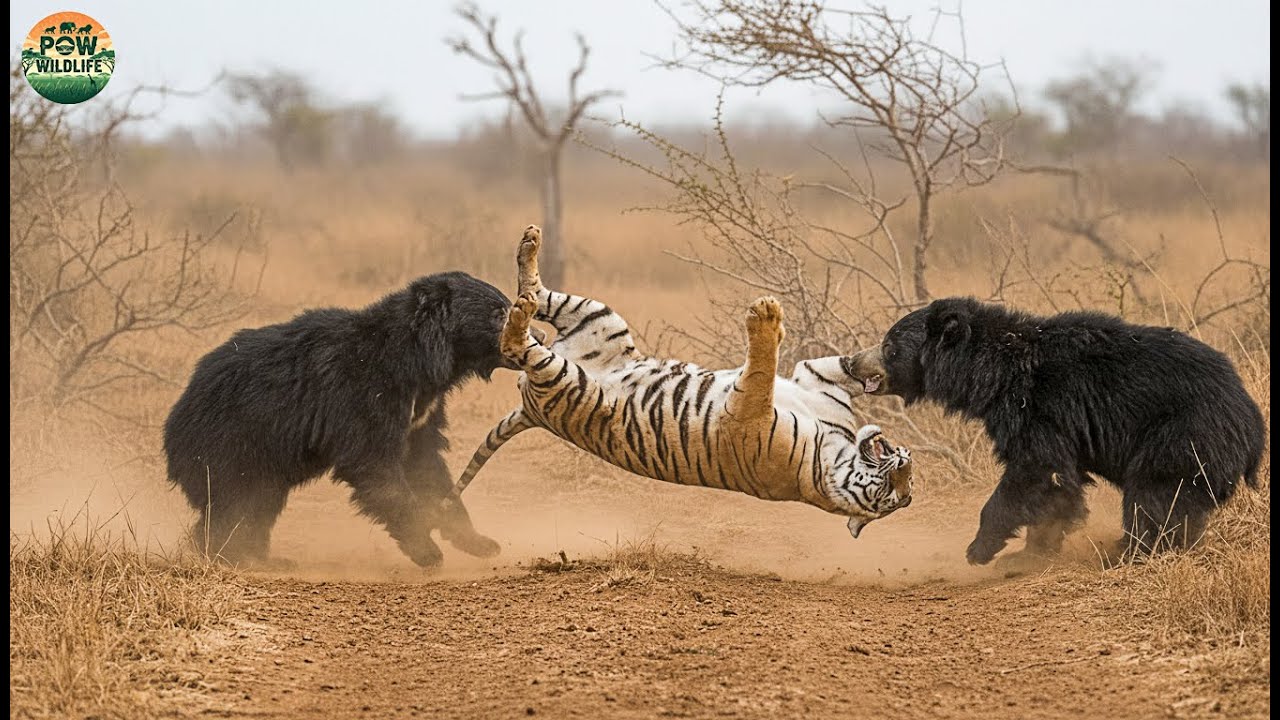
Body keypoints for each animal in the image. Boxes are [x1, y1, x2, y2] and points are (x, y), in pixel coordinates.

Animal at [163, 271, 532, 569]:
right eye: (499, 312)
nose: (537, 337)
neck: (421, 363)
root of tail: (174, 420)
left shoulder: (421, 414)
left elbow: (426, 466)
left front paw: (481, 543)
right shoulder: (364, 395)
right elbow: (374, 465)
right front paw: (427, 551)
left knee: (258, 506)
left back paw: (264, 557)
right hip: (231, 445)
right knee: (235, 504)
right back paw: (231, 556)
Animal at [452, 225, 914, 538]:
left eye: (894, 492)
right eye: (902, 483)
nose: (905, 459)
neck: (837, 447)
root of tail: (531, 408)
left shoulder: (746, 412)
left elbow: (761, 369)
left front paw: (766, 317)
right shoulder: (814, 376)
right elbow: (841, 365)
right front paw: (883, 361)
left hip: (566, 378)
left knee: (518, 346)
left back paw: (518, 315)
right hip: (601, 316)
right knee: (534, 290)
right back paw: (529, 246)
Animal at [845, 297, 1265, 564]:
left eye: (889, 345)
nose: (850, 362)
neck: (994, 375)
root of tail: (1253, 421)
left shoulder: (1039, 409)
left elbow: (1037, 470)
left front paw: (981, 550)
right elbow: (1057, 483)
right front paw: (1029, 552)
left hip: (1183, 435)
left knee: (1156, 495)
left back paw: (1130, 551)